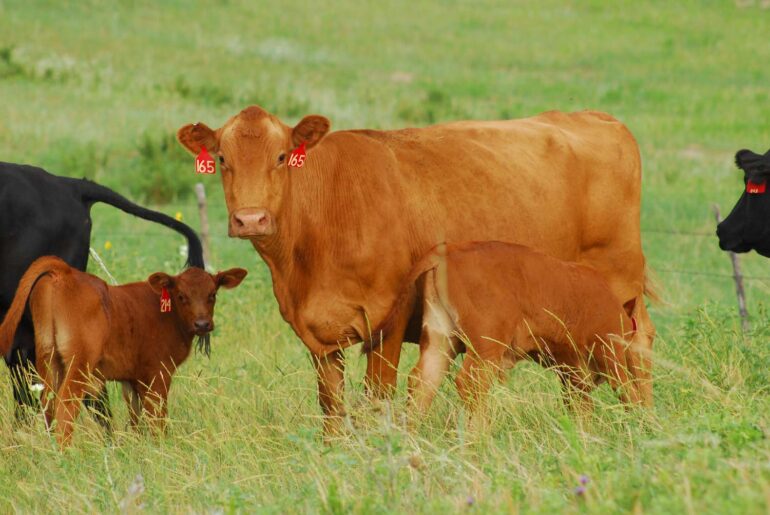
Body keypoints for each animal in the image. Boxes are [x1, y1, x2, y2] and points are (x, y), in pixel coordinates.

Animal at [0, 256, 247, 447]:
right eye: (181, 296)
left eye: (213, 294)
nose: (202, 324)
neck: (168, 316)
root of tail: (66, 272)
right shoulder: (158, 373)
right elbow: (157, 417)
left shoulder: (131, 378)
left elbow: (136, 417)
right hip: (79, 364)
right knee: (65, 405)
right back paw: (64, 453)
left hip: (48, 358)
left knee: (46, 403)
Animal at [365, 241, 642, 428]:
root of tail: (448, 250)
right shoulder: (610, 354)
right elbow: (628, 392)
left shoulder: (573, 374)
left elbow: (581, 408)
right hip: (486, 346)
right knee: (470, 383)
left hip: (440, 340)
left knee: (422, 382)